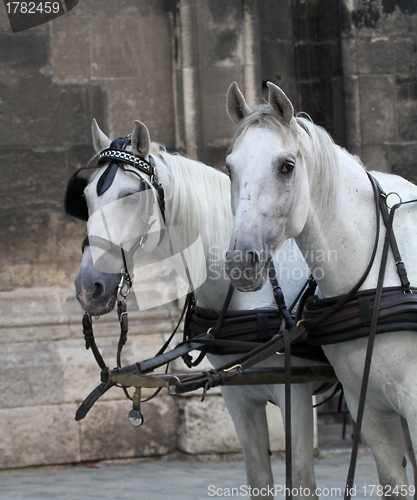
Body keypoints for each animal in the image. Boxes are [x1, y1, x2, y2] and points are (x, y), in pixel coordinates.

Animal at [70, 118, 324, 500]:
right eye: (86, 198)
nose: (89, 287)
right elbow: (258, 478)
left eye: (130, 195)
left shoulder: (295, 390)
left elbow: (302, 481)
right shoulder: (237, 393)